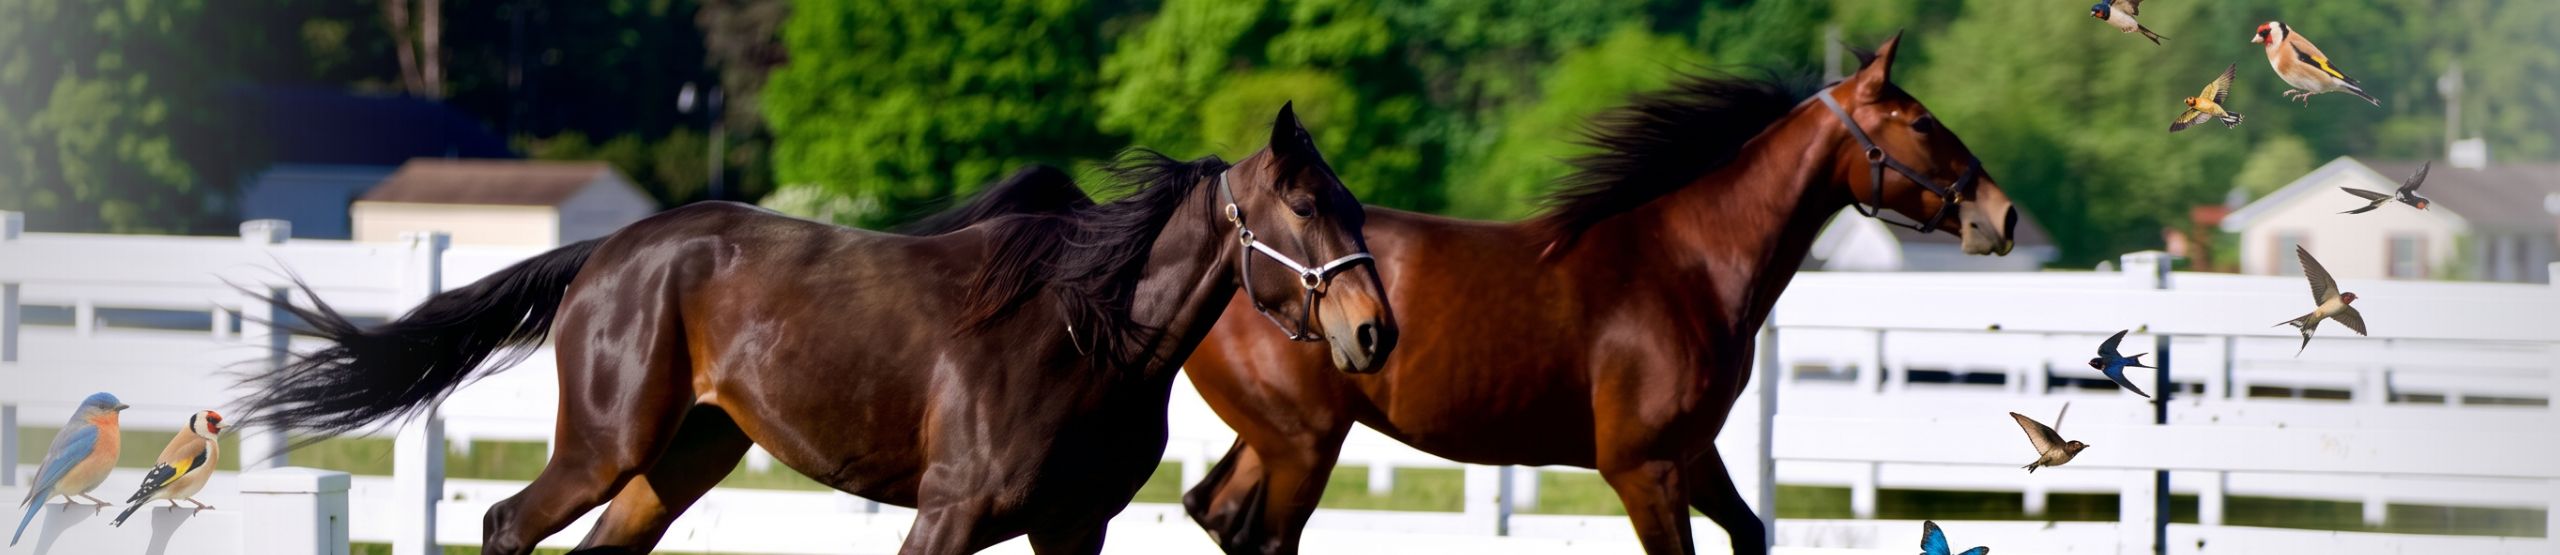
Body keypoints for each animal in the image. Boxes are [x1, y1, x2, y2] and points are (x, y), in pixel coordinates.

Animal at [234, 103, 1398, 555]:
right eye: (1306, 205)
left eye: (1353, 202)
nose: (1374, 334)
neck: (1085, 340)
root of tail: (610, 254)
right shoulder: (949, 515)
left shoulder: (1073, 527)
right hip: (604, 444)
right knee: (507, 523)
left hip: (685, 453)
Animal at [1179, 34, 2022, 555]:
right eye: (1922, 122)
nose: (2002, 212)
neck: (1684, 266)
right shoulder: (1642, 468)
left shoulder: (1692, 455)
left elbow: (1753, 530)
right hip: (1303, 443)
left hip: (1279, 437)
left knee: (1214, 513)